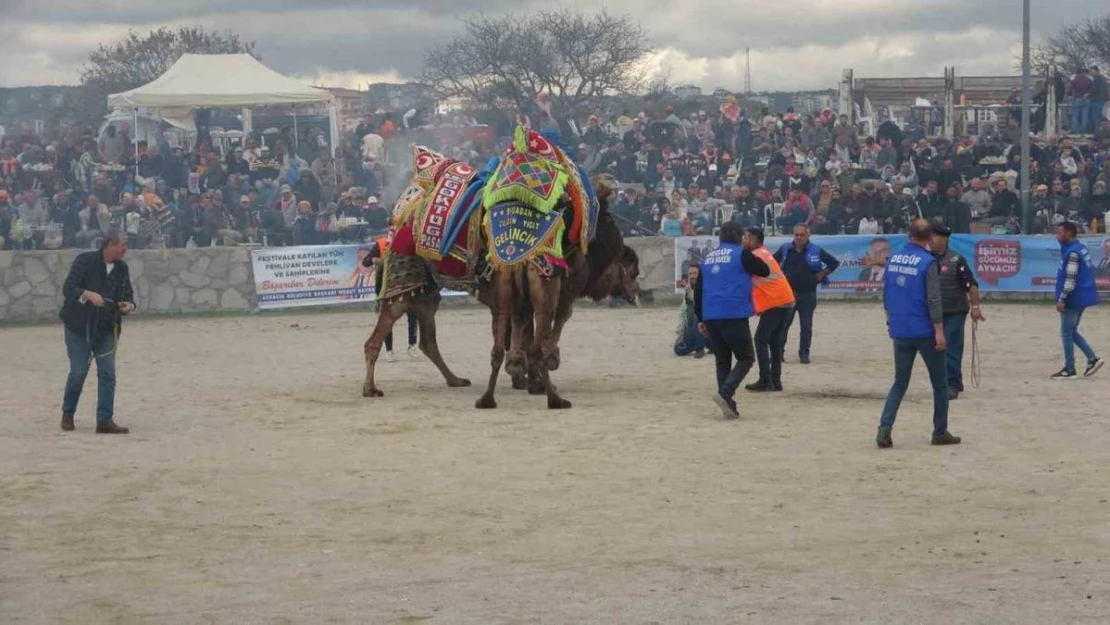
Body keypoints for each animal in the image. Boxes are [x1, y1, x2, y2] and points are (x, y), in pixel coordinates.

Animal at [364, 129, 643, 408]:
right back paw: (371, 387)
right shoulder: (559, 288)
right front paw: (536, 375)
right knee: (380, 334)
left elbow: (518, 330)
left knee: (427, 340)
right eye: (633, 269)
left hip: (427, 290)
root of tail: (398, 218)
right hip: (406, 278)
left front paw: (524, 376)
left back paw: (455, 380)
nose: (636, 291)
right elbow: (545, 327)